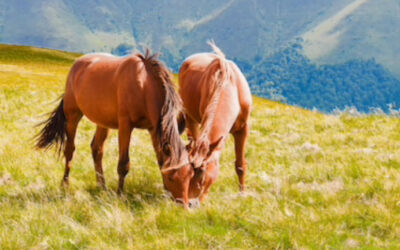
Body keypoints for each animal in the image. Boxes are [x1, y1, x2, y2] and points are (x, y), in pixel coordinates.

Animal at [35, 49, 195, 205]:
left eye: (190, 174)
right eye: (171, 177)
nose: (183, 204)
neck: (144, 84)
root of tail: (77, 64)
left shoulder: (153, 128)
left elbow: (159, 161)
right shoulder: (125, 125)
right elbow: (124, 164)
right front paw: (120, 195)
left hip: (103, 122)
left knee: (97, 149)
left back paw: (102, 187)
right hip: (73, 116)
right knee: (70, 150)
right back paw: (65, 184)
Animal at [177, 42, 252, 203]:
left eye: (203, 177)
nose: (190, 203)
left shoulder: (243, 128)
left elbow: (240, 165)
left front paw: (243, 194)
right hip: (190, 116)